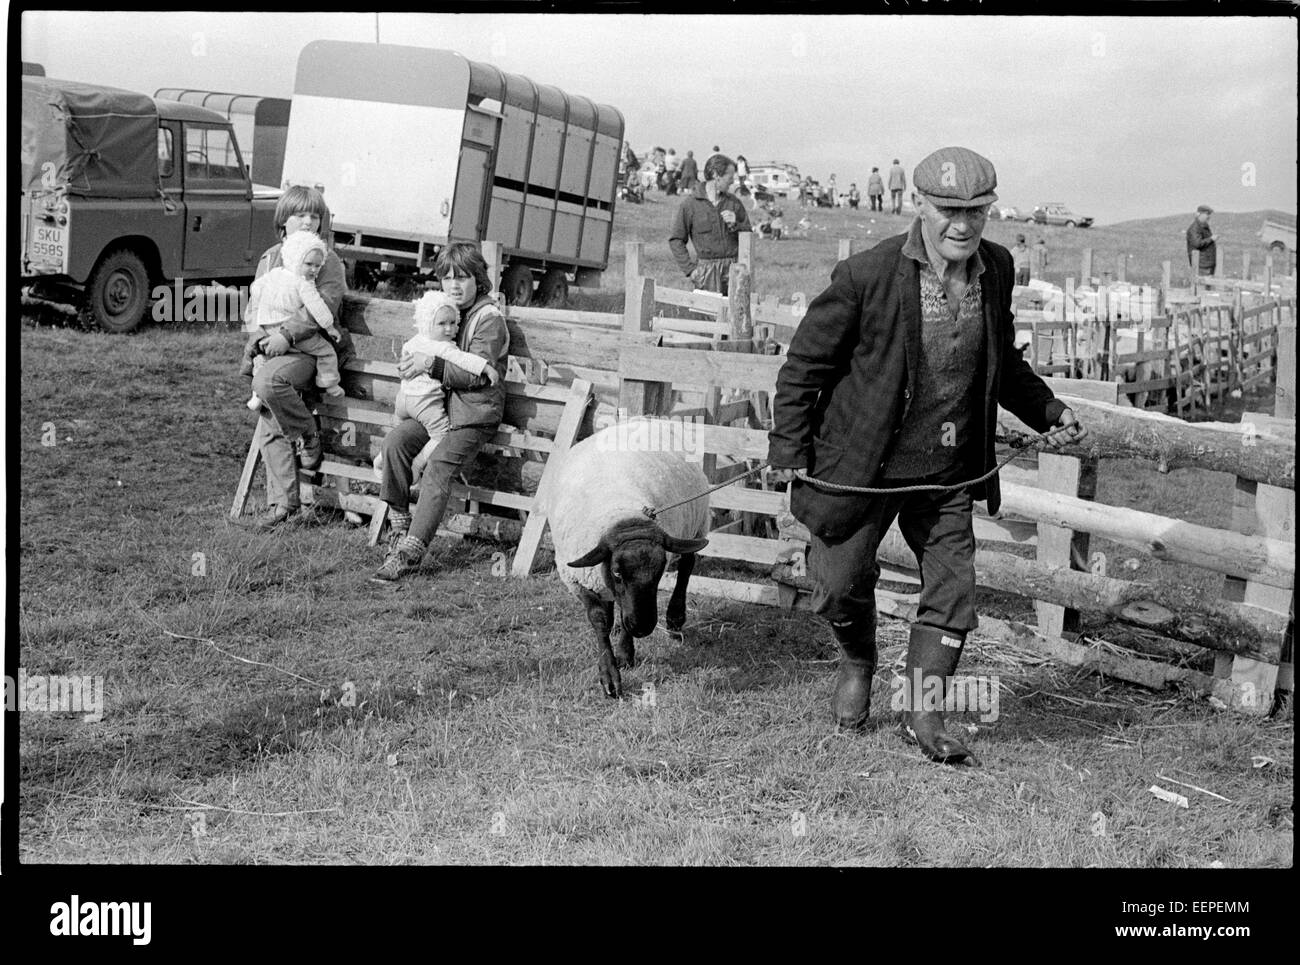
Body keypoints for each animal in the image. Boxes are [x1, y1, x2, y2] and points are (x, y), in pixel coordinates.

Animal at [538, 418, 712, 697]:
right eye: (617, 572)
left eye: (660, 571)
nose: (643, 627)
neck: (619, 513)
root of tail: (650, 417)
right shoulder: (579, 581)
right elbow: (601, 620)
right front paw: (610, 675)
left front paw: (625, 655)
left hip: (697, 523)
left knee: (687, 565)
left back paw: (675, 618)